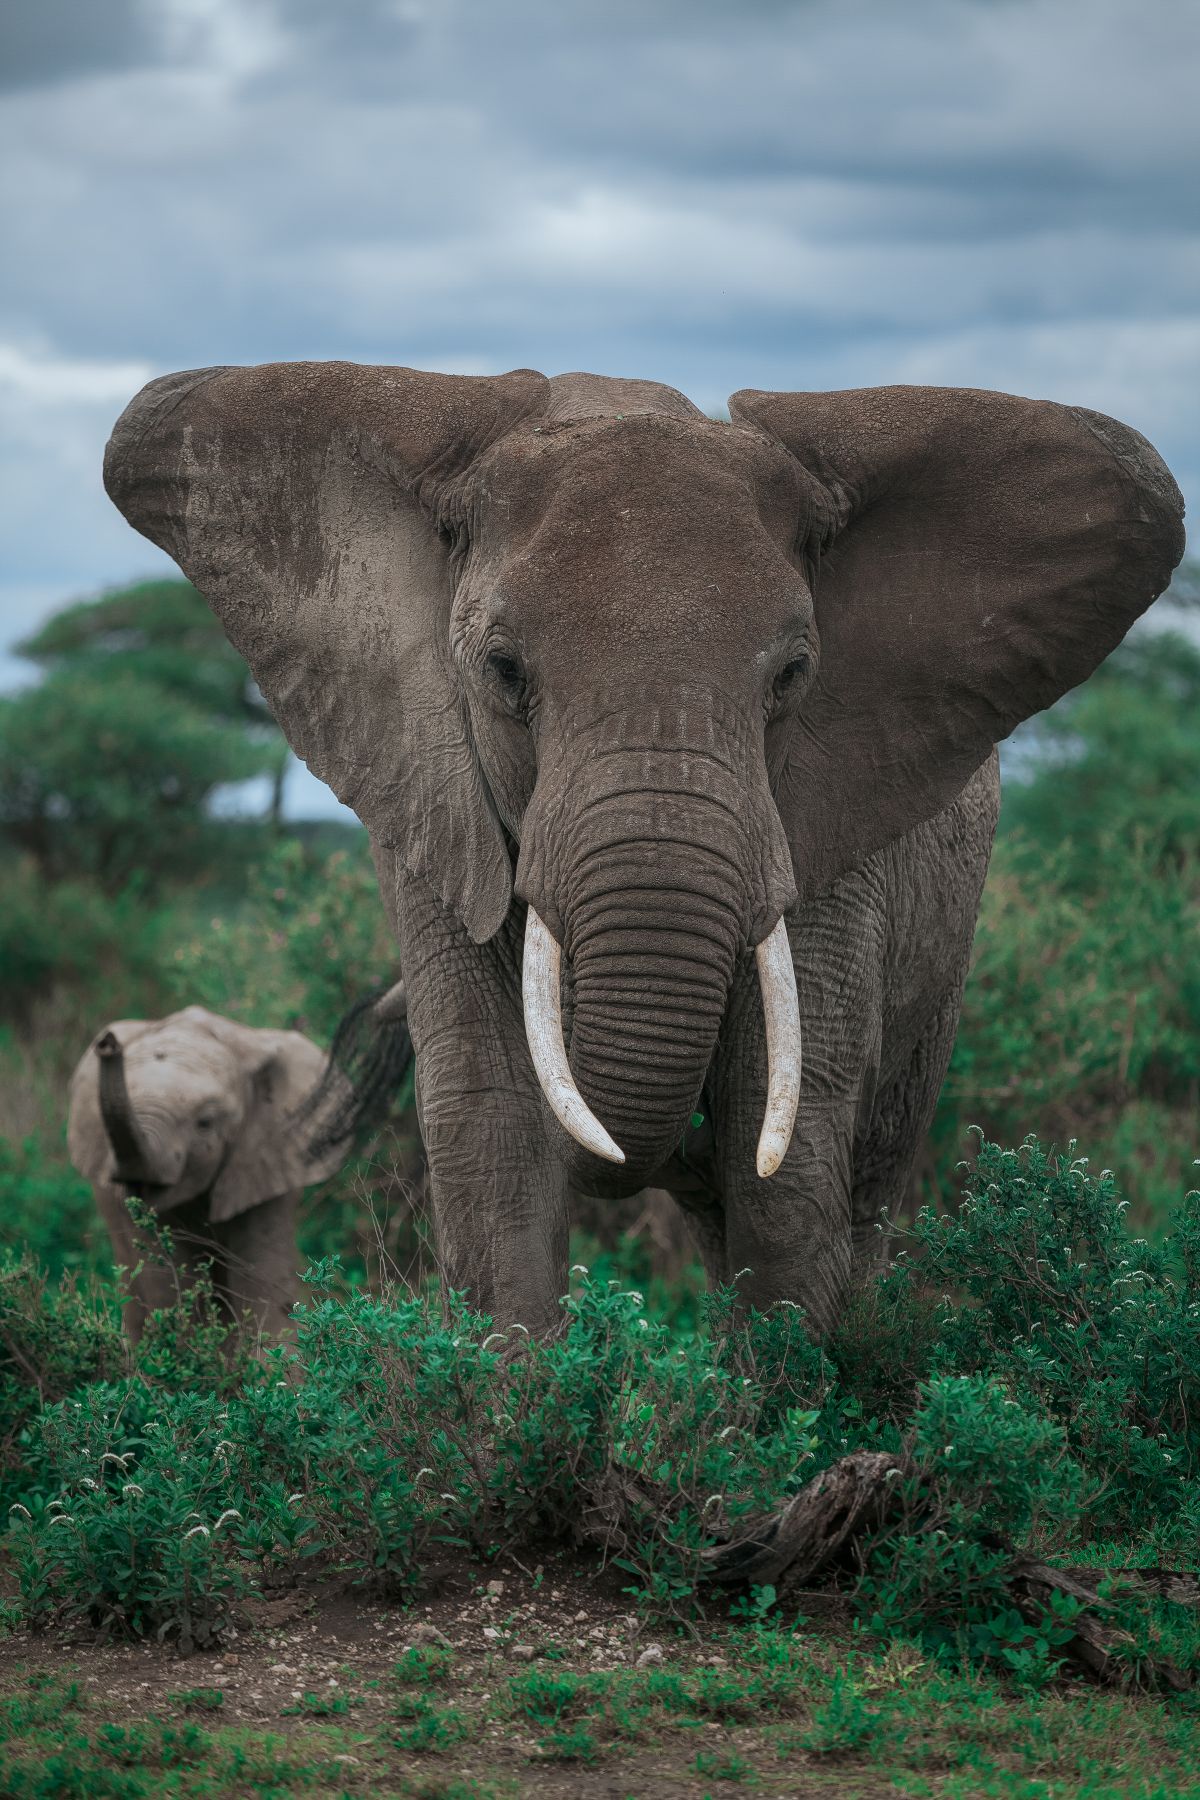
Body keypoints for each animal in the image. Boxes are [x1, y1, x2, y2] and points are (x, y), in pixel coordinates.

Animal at [102, 364, 1185, 1336]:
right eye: (503, 671)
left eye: (793, 674)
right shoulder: (429, 814)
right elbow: (492, 1127)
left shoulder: (825, 831)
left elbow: (777, 1134)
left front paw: (774, 1429)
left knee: (858, 1179)